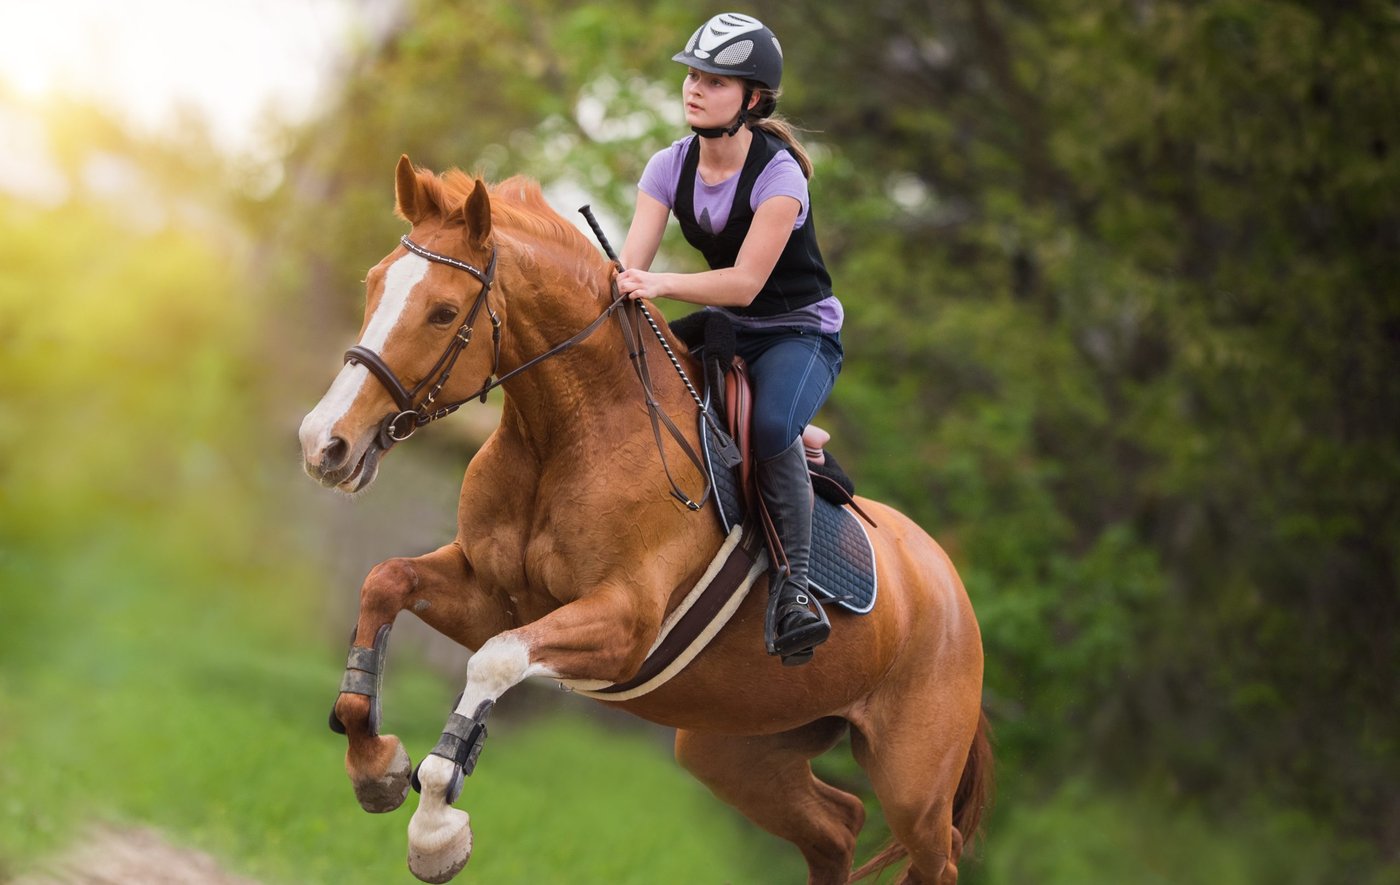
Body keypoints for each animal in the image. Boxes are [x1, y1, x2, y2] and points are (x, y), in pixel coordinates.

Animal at [297, 155, 991, 885]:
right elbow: (385, 581)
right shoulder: (495, 595)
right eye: (374, 284)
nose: (324, 444)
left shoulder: (621, 625)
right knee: (836, 826)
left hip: (913, 783)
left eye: (443, 312)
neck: (568, 432)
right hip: (735, 747)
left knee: (935, 854)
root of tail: (953, 589)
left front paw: (435, 828)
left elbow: (492, 663)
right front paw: (375, 766)